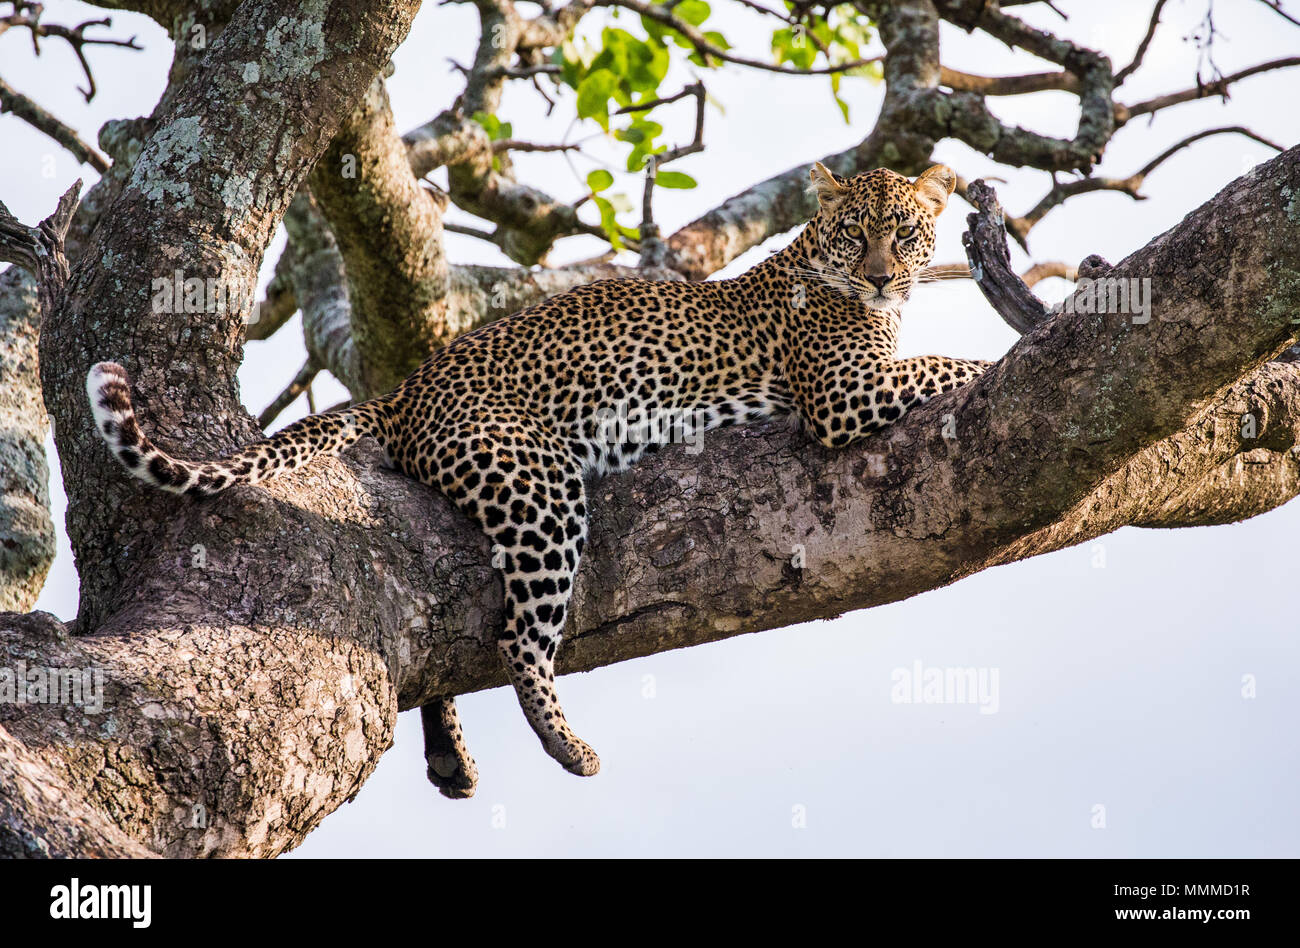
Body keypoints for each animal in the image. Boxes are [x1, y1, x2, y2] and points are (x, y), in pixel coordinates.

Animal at [87, 162, 990, 796]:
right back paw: (568, 745)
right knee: (516, 636)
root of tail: (408, 389)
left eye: (904, 231)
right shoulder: (843, 395)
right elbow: (949, 364)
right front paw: (1011, 348)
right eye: (856, 234)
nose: (881, 276)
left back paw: (451, 758)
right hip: (541, 485)